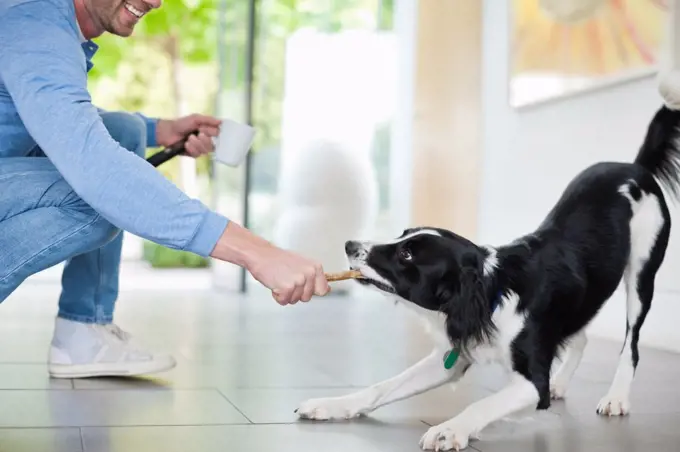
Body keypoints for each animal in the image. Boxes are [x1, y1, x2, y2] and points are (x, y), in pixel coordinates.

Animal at [294, 81, 680, 448]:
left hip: (641, 276)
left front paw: (449, 430)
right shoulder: (449, 357)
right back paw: (563, 382)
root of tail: (635, 168)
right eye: (402, 235)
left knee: (631, 343)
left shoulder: (530, 382)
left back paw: (616, 397)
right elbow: (383, 386)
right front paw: (332, 405)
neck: (492, 294)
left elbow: (483, 403)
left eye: (407, 255)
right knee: (580, 334)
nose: (350, 245)